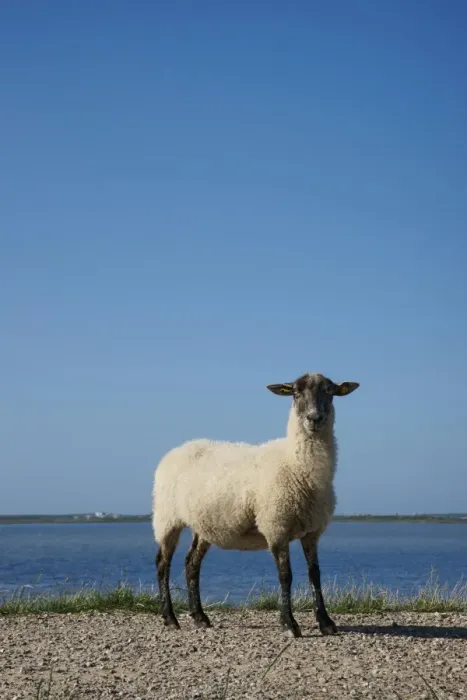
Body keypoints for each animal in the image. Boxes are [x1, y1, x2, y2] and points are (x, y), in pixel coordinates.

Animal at [152, 372, 359, 638]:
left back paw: (200, 617)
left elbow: (315, 574)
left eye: (330, 392)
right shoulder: (276, 526)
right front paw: (289, 624)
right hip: (167, 517)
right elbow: (285, 575)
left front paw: (325, 622)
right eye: (296, 393)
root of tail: (178, 448)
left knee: (191, 564)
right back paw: (169, 618)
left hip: (203, 525)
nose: (314, 418)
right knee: (162, 564)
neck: (297, 466)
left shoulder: (312, 532)